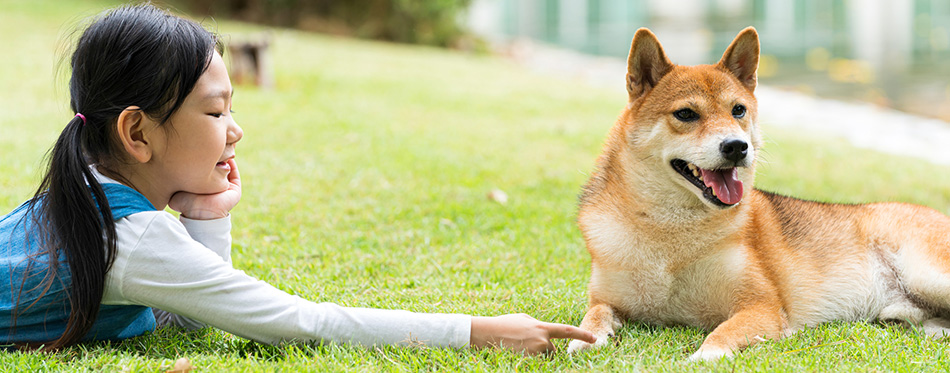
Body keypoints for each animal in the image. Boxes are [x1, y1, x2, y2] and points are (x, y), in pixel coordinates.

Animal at [568, 26, 950, 360]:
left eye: (738, 110)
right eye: (686, 114)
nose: (737, 146)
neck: (669, 234)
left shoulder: (761, 306)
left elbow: (720, 334)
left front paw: (704, 357)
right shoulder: (606, 299)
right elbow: (594, 315)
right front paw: (582, 340)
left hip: (928, 275)